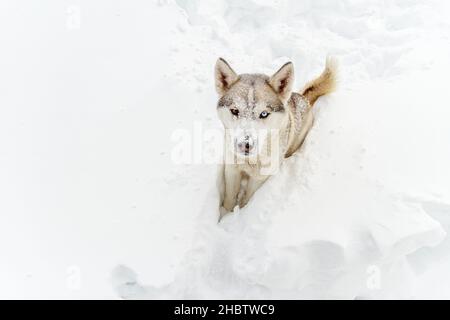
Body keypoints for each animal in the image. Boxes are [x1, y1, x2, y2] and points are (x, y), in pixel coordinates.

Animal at [215, 57, 338, 215]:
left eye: (264, 114)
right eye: (235, 111)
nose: (245, 145)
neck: (251, 161)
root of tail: (303, 98)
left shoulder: (259, 178)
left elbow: (247, 200)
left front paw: (241, 213)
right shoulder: (232, 170)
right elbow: (229, 199)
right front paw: (225, 214)